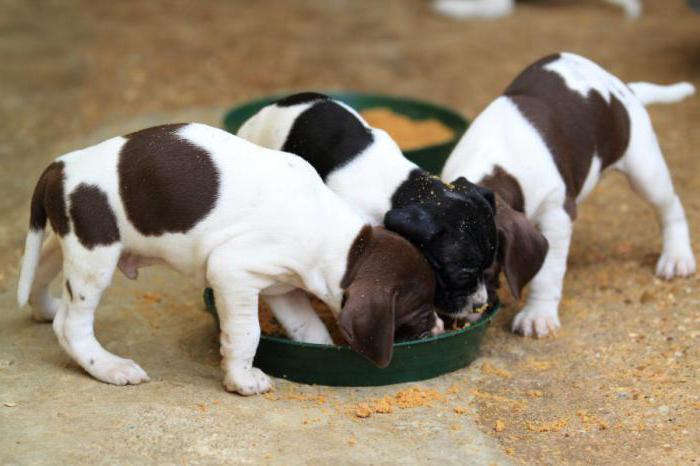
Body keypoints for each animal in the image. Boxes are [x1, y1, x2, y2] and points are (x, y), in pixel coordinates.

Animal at [16, 123, 438, 394]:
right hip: (96, 254)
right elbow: (246, 332)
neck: (348, 244)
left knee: (42, 270)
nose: (436, 327)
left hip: (70, 240)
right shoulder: (232, 272)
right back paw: (108, 366)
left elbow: (309, 329)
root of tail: (61, 166)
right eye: (420, 306)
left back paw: (45, 308)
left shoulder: (283, 288)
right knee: (72, 325)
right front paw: (242, 380)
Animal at [442, 52, 696, 336]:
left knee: (670, 207)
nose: (449, 315)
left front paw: (537, 315)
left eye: (483, 269)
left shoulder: (557, 215)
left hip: (644, 169)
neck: (491, 168)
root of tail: (622, 88)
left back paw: (677, 256)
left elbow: (547, 272)